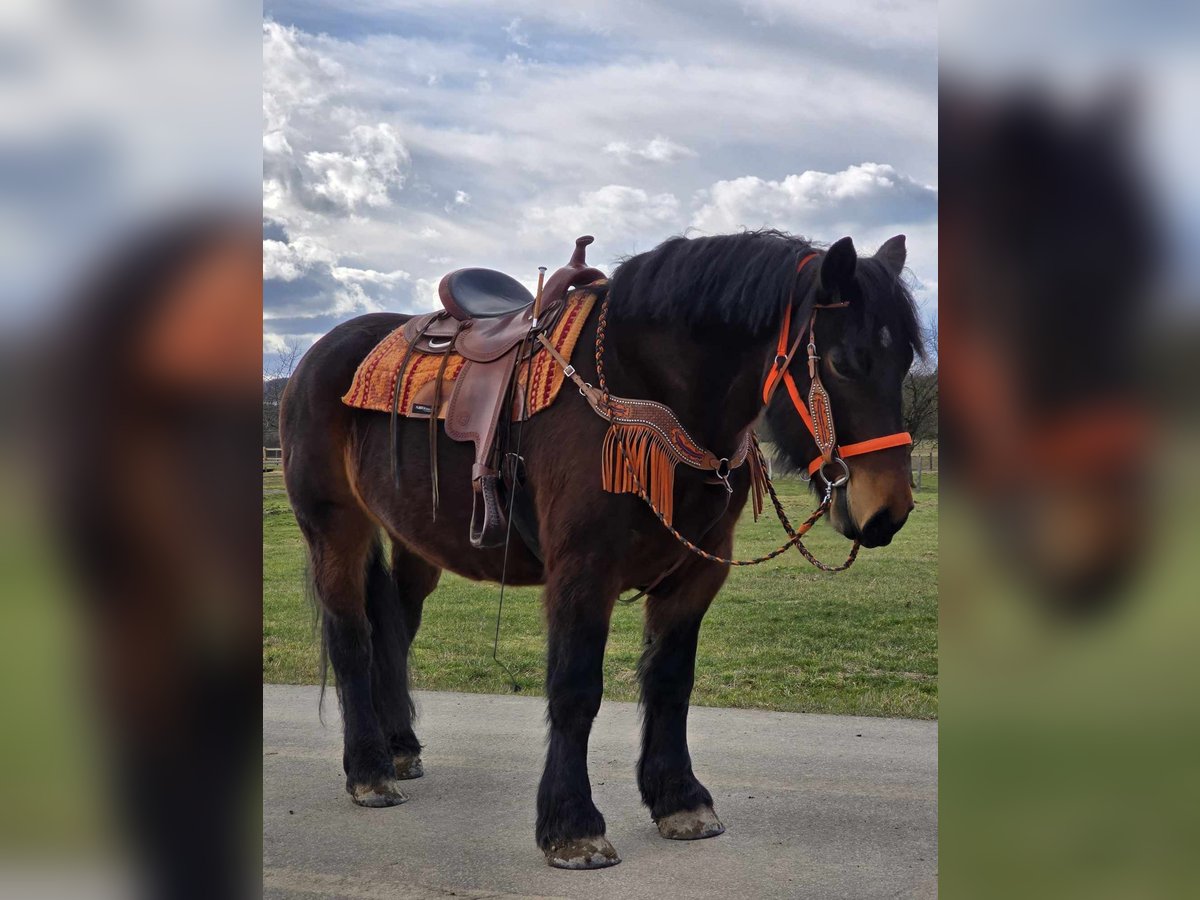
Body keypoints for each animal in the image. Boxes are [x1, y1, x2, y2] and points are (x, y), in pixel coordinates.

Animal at [278, 229, 916, 868]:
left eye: (907, 360)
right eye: (842, 362)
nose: (887, 511)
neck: (646, 387)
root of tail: (320, 355)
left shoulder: (694, 574)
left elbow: (670, 682)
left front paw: (679, 799)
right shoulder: (582, 569)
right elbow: (576, 688)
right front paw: (571, 824)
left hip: (415, 541)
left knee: (393, 628)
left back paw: (399, 748)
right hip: (335, 529)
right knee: (351, 637)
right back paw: (368, 770)